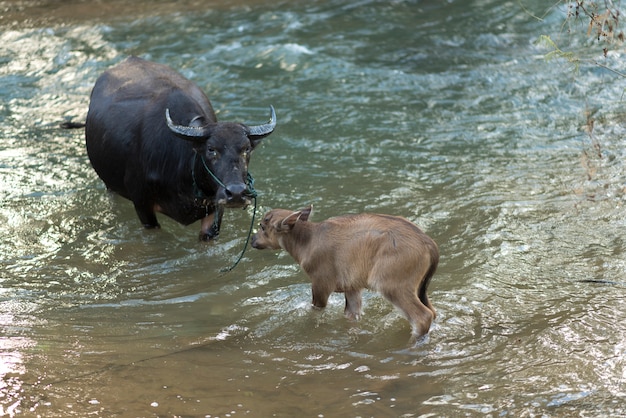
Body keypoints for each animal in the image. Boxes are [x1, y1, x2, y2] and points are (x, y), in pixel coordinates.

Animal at [84, 56, 274, 240]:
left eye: (246, 149)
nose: (236, 193)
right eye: (211, 149)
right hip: (110, 182)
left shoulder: (214, 207)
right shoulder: (142, 205)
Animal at [250, 205, 438, 340]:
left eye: (262, 226)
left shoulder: (320, 285)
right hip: (419, 288)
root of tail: (428, 243)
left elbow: (315, 311)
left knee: (423, 317)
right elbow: (351, 315)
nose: (252, 239)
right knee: (432, 312)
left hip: (391, 285)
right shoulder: (352, 287)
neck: (307, 242)